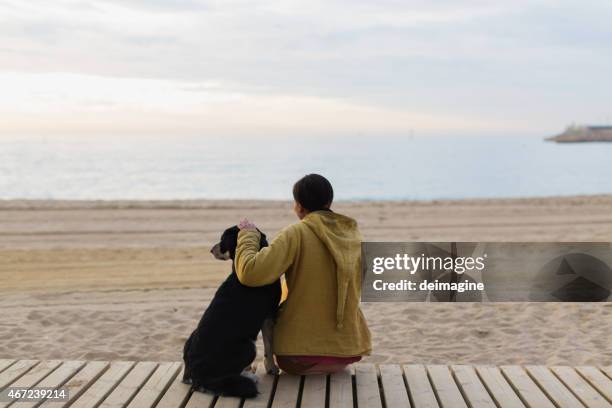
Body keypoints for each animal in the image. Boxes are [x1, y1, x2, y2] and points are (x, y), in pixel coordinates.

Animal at [182, 225, 282, 396]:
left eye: (222, 239)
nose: (211, 250)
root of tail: (195, 373)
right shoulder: (269, 316)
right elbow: (269, 346)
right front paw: (272, 368)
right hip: (249, 346)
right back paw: (248, 376)